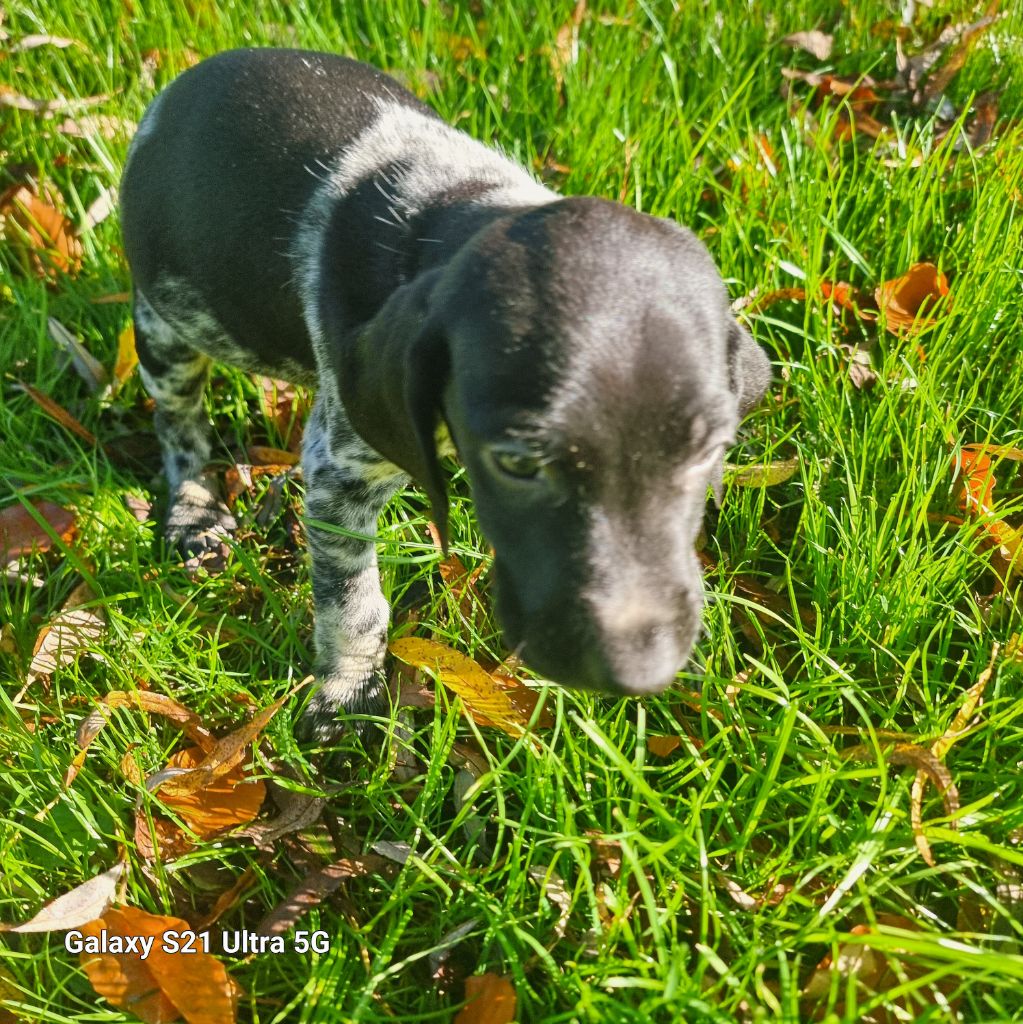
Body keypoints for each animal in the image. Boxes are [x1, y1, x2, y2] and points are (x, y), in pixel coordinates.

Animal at [119, 48, 770, 741]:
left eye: (708, 454)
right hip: (166, 325)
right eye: (516, 464)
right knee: (179, 424)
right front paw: (348, 692)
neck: (451, 208)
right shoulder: (339, 473)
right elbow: (352, 602)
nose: (639, 673)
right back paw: (193, 510)